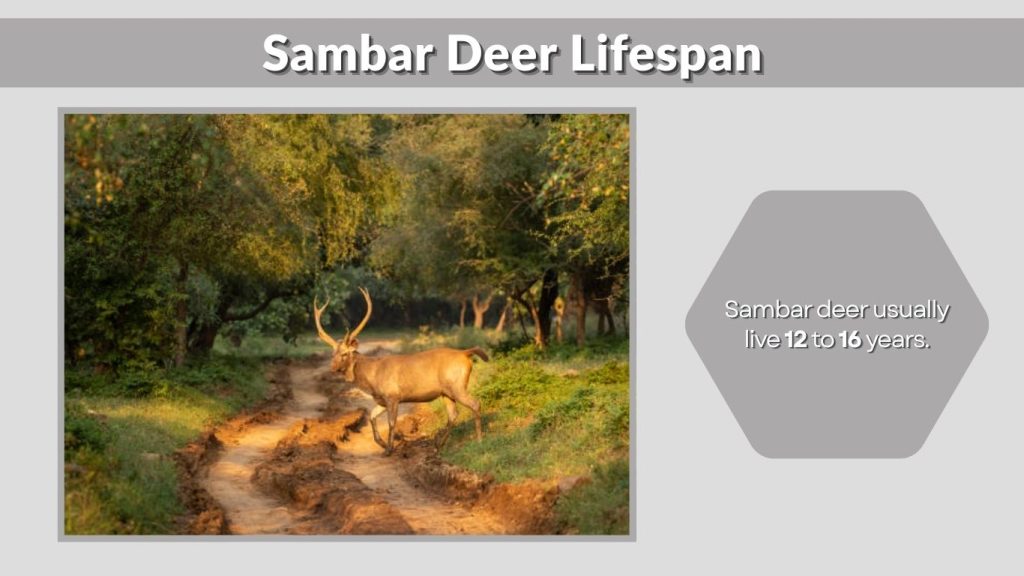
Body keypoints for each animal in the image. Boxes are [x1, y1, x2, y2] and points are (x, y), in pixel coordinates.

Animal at [314, 288, 487, 456]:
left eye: (344, 354)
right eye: (333, 354)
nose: (333, 368)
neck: (372, 379)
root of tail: (465, 353)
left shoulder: (393, 396)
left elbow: (391, 423)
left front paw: (389, 449)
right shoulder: (382, 400)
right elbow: (372, 416)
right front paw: (383, 444)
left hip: (457, 385)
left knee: (475, 403)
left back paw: (479, 440)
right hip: (446, 392)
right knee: (453, 415)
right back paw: (437, 446)